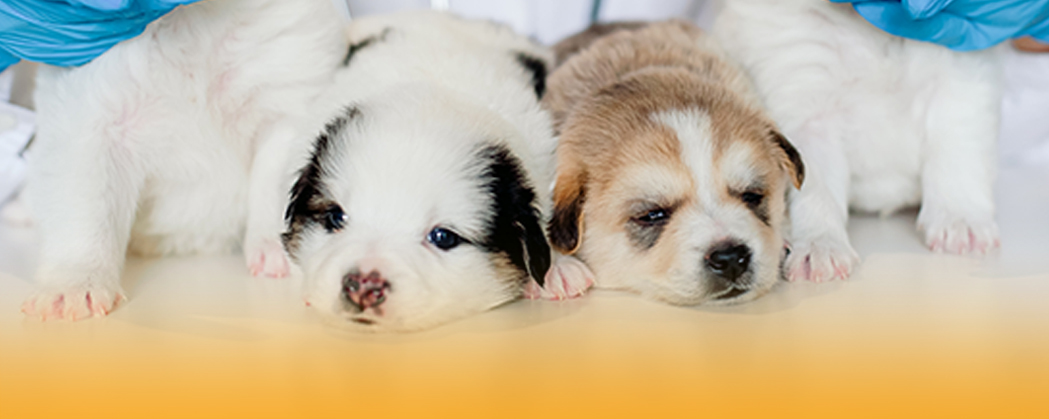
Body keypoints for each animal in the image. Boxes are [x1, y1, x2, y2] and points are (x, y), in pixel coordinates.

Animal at [20, 0, 347, 320]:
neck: (194, 21)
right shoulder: (88, 123)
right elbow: (86, 214)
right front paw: (74, 282)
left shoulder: (287, 105)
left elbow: (273, 188)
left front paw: (280, 248)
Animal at [713, 0, 1001, 282]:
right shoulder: (808, 109)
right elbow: (816, 191)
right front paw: (820, 245)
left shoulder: (958, 81)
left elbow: (956, 158)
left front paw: (959, 219)